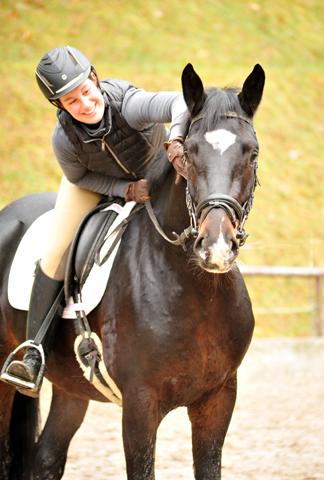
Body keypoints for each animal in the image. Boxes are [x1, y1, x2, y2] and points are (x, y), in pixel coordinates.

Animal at [0, 63, 264, 480]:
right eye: (189, 153)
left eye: (251, 154)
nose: (216, 248)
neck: (198, 292)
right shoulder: (140, 407)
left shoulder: (218, 400)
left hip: (72, 390)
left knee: (46, 459)